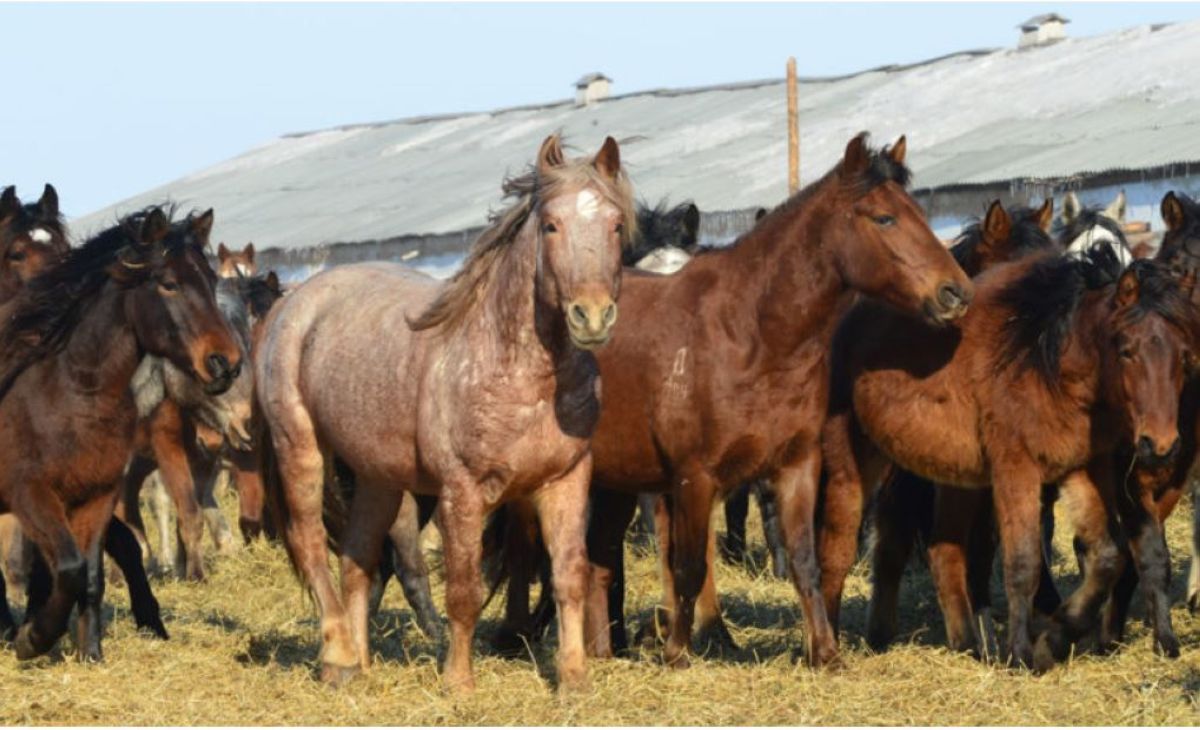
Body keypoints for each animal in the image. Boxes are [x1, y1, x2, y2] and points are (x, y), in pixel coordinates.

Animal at [0, 206, 241, 662]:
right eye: (168, 283)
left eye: (211, 279)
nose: (226, 363)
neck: (73, 393)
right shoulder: (30, 494)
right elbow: (70, 568)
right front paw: (33, 639)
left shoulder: (97, 495)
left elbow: (90, 574)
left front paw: (89, 652)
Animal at [259, 135, 638, 691]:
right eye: (551, 225)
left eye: (614, 224)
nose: (591, 317)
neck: (521, 373)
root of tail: (292, 304)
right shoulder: (462, 492)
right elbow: (463, 590)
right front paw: (458, 681)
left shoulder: (565, 481)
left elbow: (569, 576)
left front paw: (573, 679)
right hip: (300, 448)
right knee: (311, 546)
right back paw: (338, 655)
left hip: (378, 477)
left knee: (357, 558)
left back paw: (357, 664)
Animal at [820, 241, 1195, 672]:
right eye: (1127, 350)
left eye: (1183, 355)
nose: (1160, 445)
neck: (1044, 360)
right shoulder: (1017, 470)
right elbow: (1022, 563)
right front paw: (1020, 653)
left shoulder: (1083, 469)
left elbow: (1107, 557)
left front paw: (1053, 641)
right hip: (860, 465)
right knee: (847, 546)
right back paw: (833, 644)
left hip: (954, 478)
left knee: (942, 550)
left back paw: (966, 644)